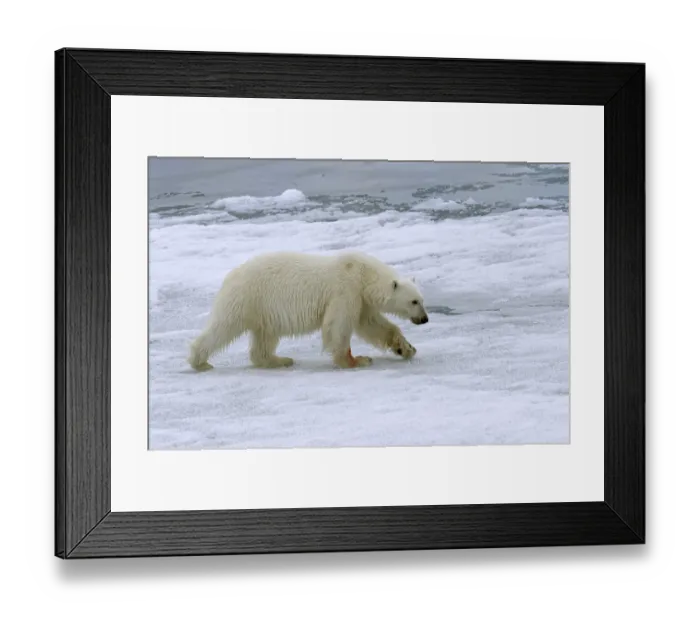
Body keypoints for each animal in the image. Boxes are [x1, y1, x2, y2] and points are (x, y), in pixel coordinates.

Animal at [187, 250, 429, 371]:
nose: (425, 319)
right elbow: (338, 326)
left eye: (422, 300)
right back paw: (199, 361)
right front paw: (357, 360)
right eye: (414, 302)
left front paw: (406, 348)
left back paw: (280, 360)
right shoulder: (345, 290)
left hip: (264, 311)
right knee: (223, 328)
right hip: (247, 298)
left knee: (265, 338)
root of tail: (231, 276)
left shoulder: (361, 300)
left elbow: (373, 325)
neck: (362, 273)